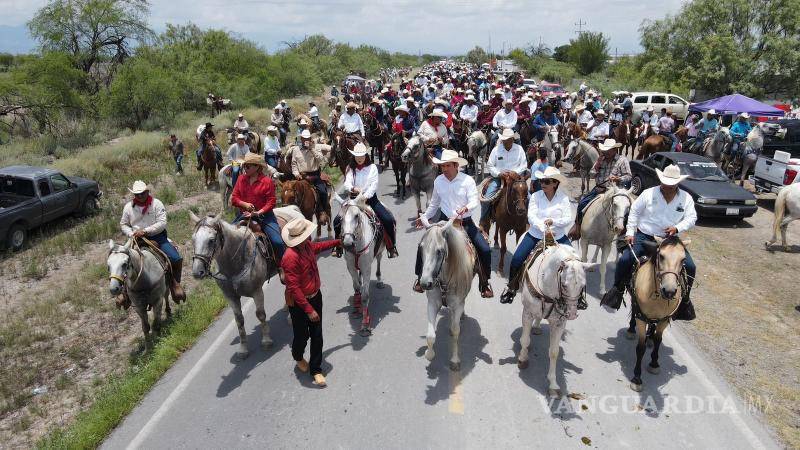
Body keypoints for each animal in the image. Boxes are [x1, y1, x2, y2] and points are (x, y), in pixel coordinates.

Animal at [189, 207, 304, 358]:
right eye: (193, 239)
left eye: (211, 240)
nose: (197, 272)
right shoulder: (231, 297)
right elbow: (239, 321)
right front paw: (243, 349)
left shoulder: (257, 291)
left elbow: (260, 315)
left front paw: (266, 340)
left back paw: (290, 317)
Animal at [332, 195, 386, 336]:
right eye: (340, 218)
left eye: (356, 216)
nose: (347, 243)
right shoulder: (350, 267)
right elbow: (356, 288)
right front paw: (357, 309)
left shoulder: (367, 268)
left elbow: (365, 296)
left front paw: (365, 325)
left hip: (380, 250)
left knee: (379, 260)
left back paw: (379, 280)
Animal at [418, 217, 476, 370]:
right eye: (421, 248)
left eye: (439, 251)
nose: (425, 283)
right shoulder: (432, 304)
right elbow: (430, 335)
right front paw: (429, 354)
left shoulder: (457, 304)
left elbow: (456, 332)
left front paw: (455, 360)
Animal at [516, 243, 596, 398]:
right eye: (564, 285)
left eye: (582, 285)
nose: (571, 314)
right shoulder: (527, 313)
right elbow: (525, 340)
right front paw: (522, 358)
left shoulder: (559, 323)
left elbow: (554, 352)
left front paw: (553, 385)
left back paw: (537, 327)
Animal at [624, 237, 688, 392]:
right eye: (662, 256)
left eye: (683, 259)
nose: (669, 291)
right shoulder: (641, 318)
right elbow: (640, 348)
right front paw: (637, 378)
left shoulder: (664, 320)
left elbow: (659, 340)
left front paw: (654, 363)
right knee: (634, 313)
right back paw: (631, 330)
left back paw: (650, 338)